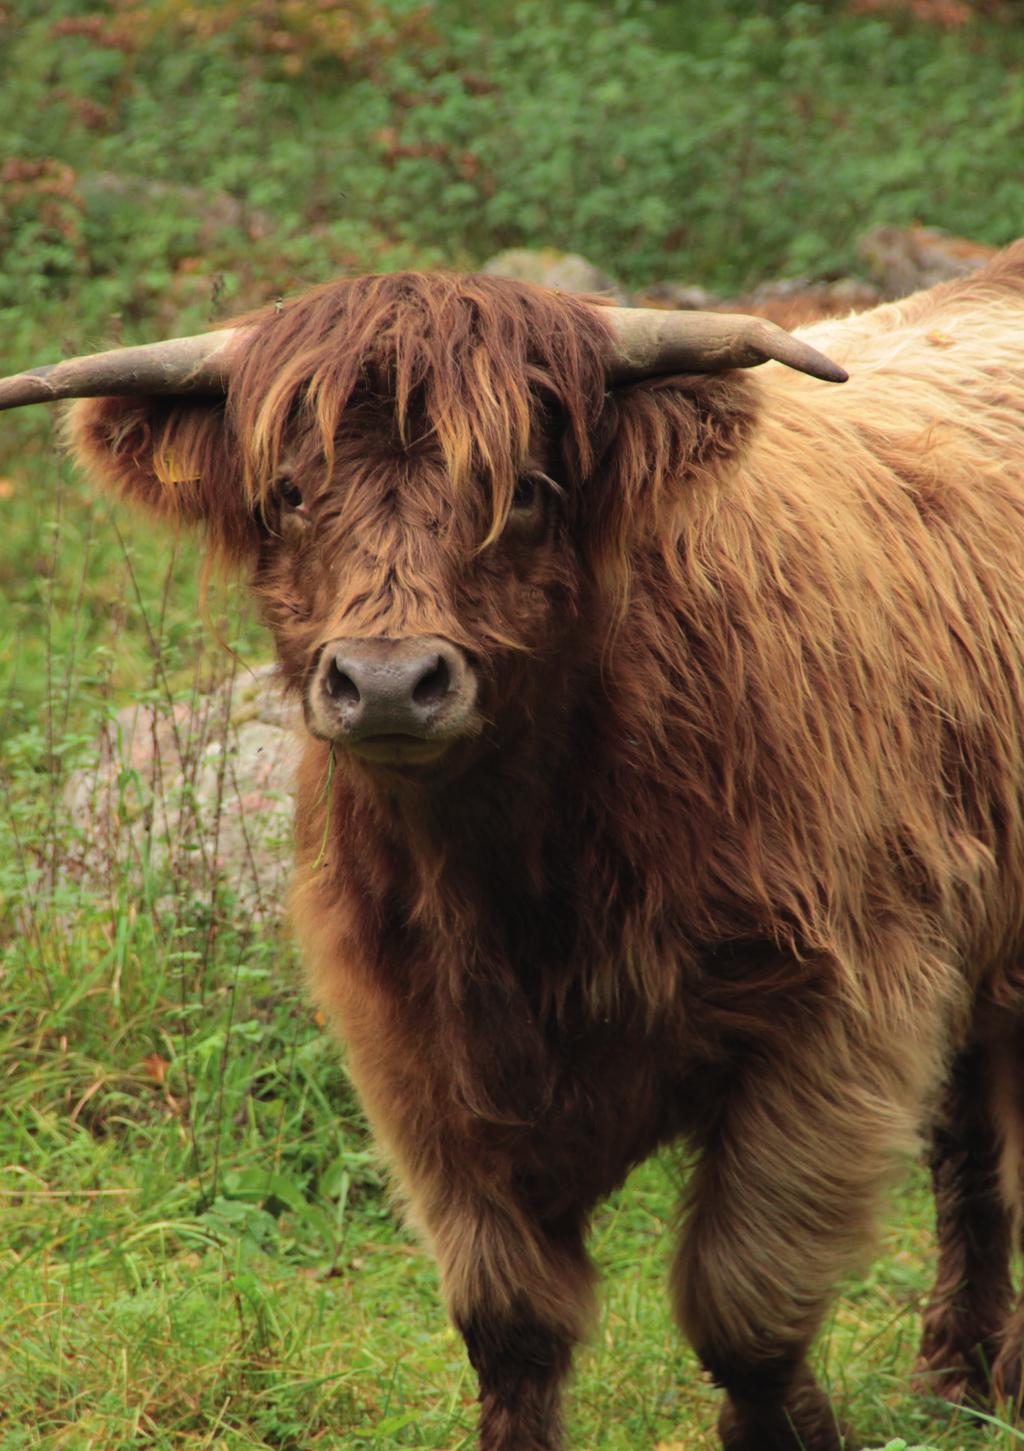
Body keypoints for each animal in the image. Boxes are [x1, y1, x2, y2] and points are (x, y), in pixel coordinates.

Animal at [5, 249, 1021, 1451]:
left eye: (528, 490)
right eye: (290, 494)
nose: (388, 681)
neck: (523, 875)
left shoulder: (844, 1010)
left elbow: (746, 1299)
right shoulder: (412, 1049)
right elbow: (510, 1319)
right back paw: (958, 1375)